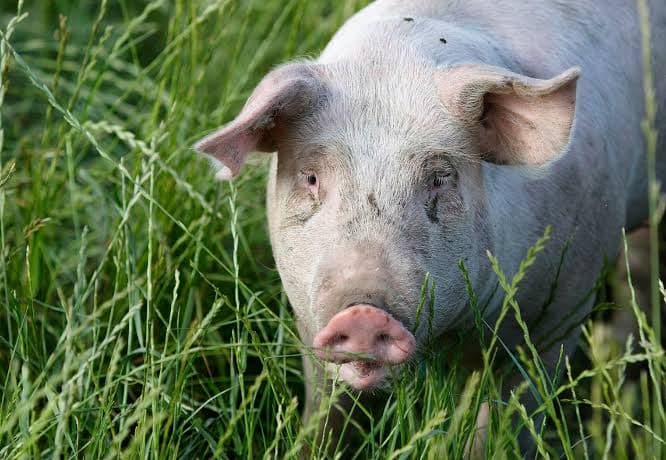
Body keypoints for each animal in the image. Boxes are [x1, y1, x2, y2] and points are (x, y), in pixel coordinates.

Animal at [195, 0, 666, 453]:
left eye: (440, 177)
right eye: (311, 178)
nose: (363, 312)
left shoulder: (558, 313)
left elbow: (506, 425)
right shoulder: (309, 321)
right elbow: (326, 414)